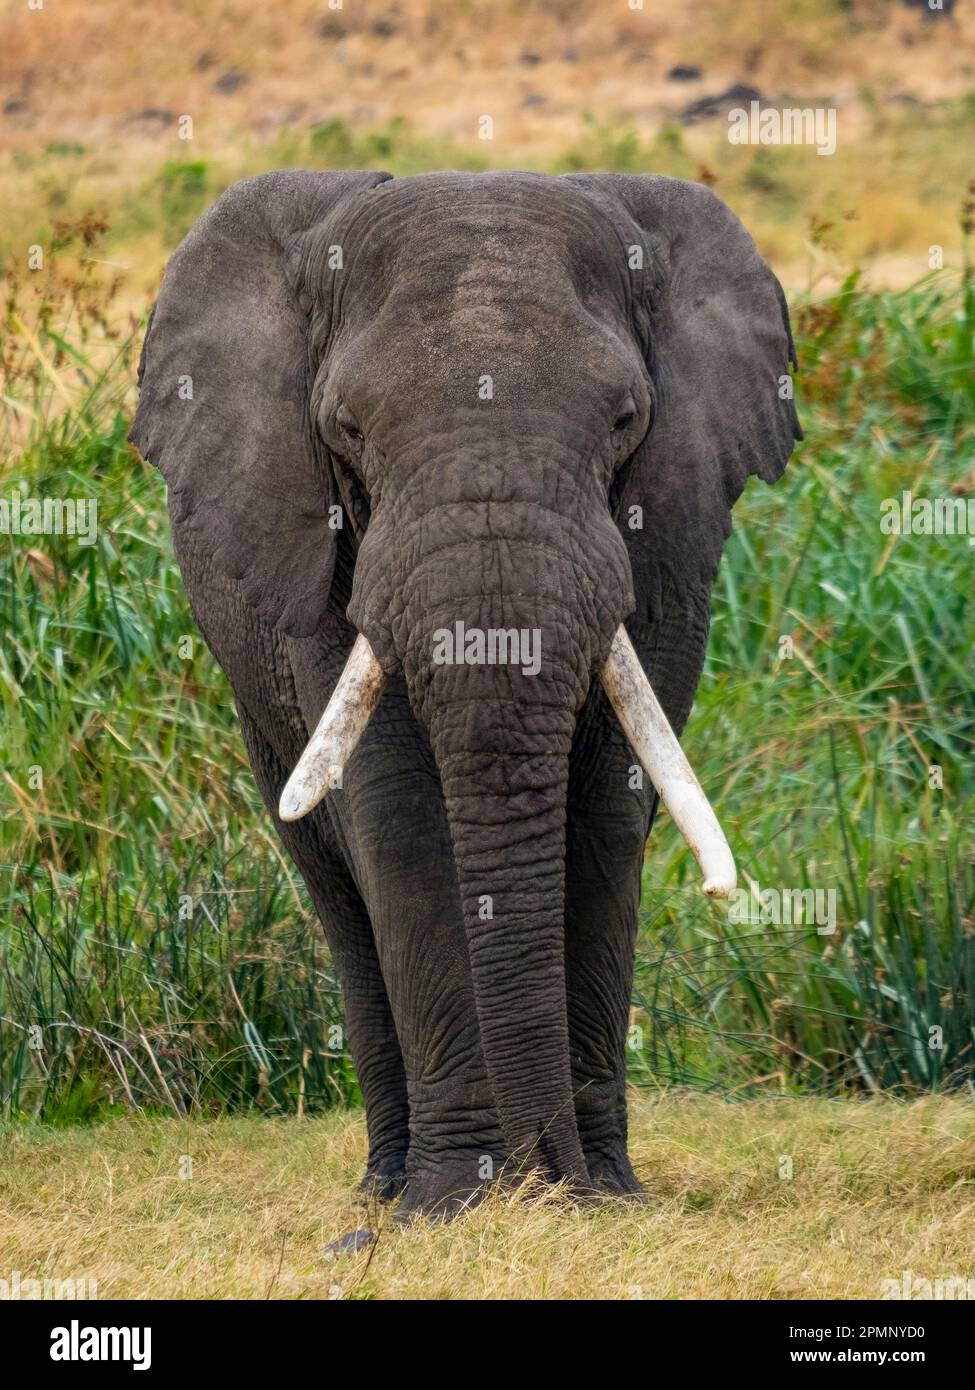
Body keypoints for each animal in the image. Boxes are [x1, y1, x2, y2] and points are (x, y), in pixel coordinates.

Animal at [127, 170, 801, 1217]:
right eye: (347, 429)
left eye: (624, 420)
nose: (544, 1170)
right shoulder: (326, 560)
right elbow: (398, 811)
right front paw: (452, 1206)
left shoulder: (667, 543)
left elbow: (608, 804)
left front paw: (602, 1199)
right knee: (332, 884)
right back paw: (381, 1196)